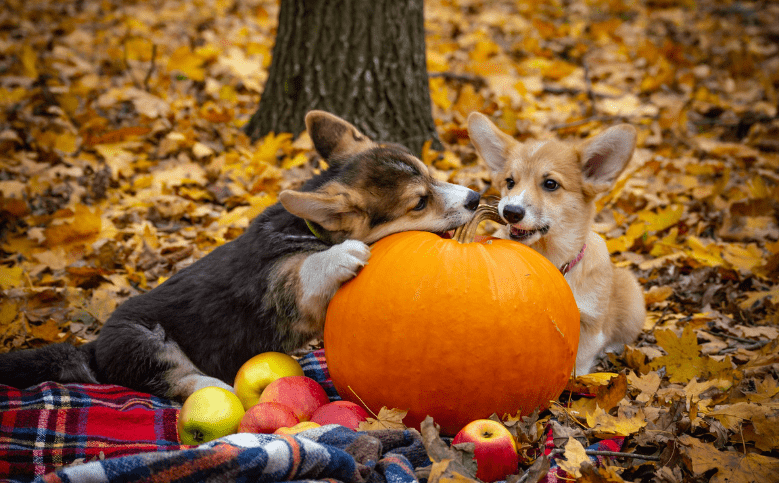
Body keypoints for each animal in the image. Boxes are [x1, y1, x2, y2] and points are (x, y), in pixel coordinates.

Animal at [0, 112, 482, 400]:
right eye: (419, 202)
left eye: (431, 174)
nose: (476, 198)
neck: (308, 228)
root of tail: (93, 349)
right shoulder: (286, 289)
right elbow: (309, 271)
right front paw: (342, 254)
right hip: (145, 340)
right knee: (180, 380)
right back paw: (224, 394)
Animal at [470, 112, 644, 374]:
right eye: (510, 182)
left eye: (550, 184)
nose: (510, 211)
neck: (549, 256)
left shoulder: (590, 324)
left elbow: (579, 364)